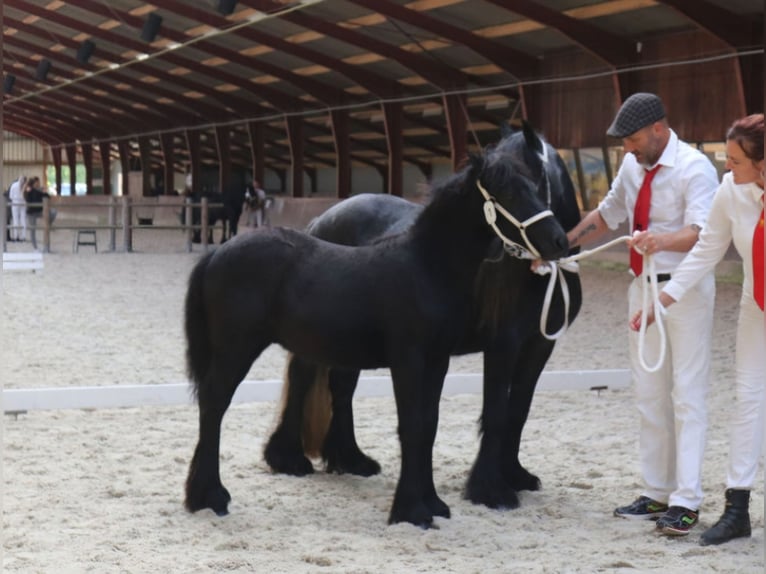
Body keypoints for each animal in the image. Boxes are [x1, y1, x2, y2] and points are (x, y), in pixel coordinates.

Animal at [183, 126, 572, 528]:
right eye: (507, 192)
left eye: (536, 186)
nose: (559, 241)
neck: (426, 267)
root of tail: (217, 252)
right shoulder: (410, 359)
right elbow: (412, 425)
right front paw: (412, 510)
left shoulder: (437, 360)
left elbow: (428, 425)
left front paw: (432, 503)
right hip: (236, 348)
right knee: (215, 404)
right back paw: (211, 496)